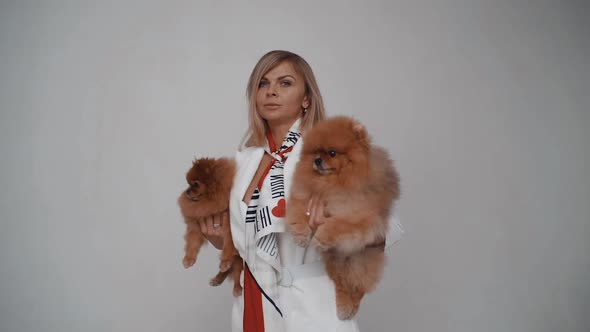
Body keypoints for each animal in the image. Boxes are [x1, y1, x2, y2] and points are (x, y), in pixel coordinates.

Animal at [180, 157, 245, 296]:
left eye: (196, 184)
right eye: (188, 184)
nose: (186, 192)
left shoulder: (229, 230)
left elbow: (228, 247)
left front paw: (225, 261)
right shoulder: (196, 227)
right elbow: (192, 244)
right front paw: (188, 259)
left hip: (238, 259)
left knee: (236, 272)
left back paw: (237, 288)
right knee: (231, 270)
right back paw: (217, 279)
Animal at [288, 116, 402, 320]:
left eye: (332, 153)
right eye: (316, 152)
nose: (317, 160)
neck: (329, 185)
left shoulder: (356, 215)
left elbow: (335, 224)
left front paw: (320, 237)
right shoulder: (303, 195)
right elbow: (298, 211)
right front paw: (301, 235)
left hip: (362, 261)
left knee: (358, 289)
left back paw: (349, 308)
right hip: (337, 262)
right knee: (342, 285)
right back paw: (343, 305)